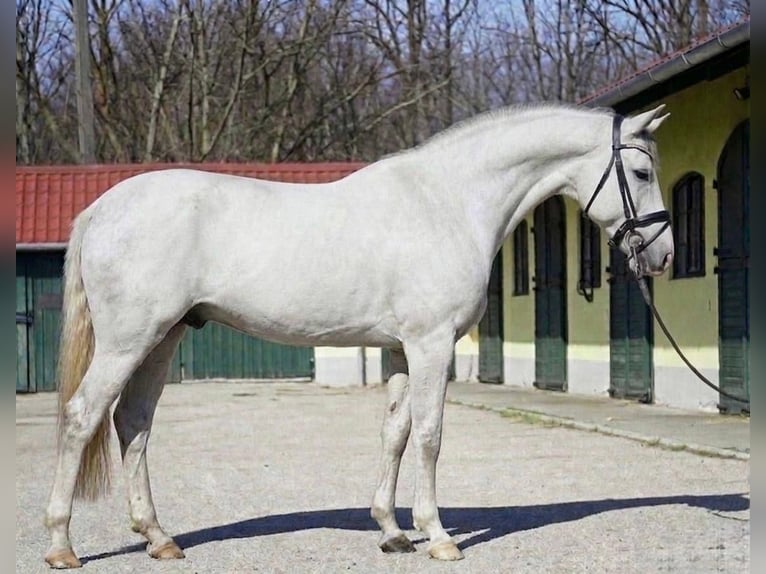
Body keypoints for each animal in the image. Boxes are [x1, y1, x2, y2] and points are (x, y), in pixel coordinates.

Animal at [44, 103, 673, 568]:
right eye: (642, 173)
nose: (662, 256)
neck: (449, 203)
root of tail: (100, 210)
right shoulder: (431, 344)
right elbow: (430, 436)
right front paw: (438, 536)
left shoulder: (399, 348)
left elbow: (394, 433)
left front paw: (392, 532)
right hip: (130, 340)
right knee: (83, 416)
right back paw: (61, 546)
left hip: (165, 336)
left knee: (133, 423)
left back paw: (159, 538)